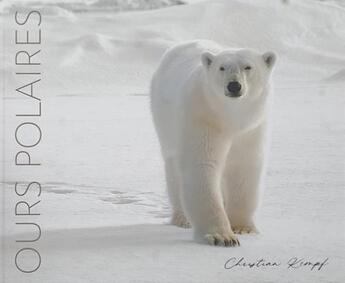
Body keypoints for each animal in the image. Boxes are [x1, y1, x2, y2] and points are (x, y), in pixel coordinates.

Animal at [149, 39, 276, 246]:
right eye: (222, 67)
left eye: (248, 66)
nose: (234, 86)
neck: (230, 118)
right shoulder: (203, 117)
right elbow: (202, 165)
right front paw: (221, 236)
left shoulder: (251, 129)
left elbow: (243, 168)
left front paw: (243, 227)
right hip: (164, 120)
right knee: (174, 168)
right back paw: (182, 219)